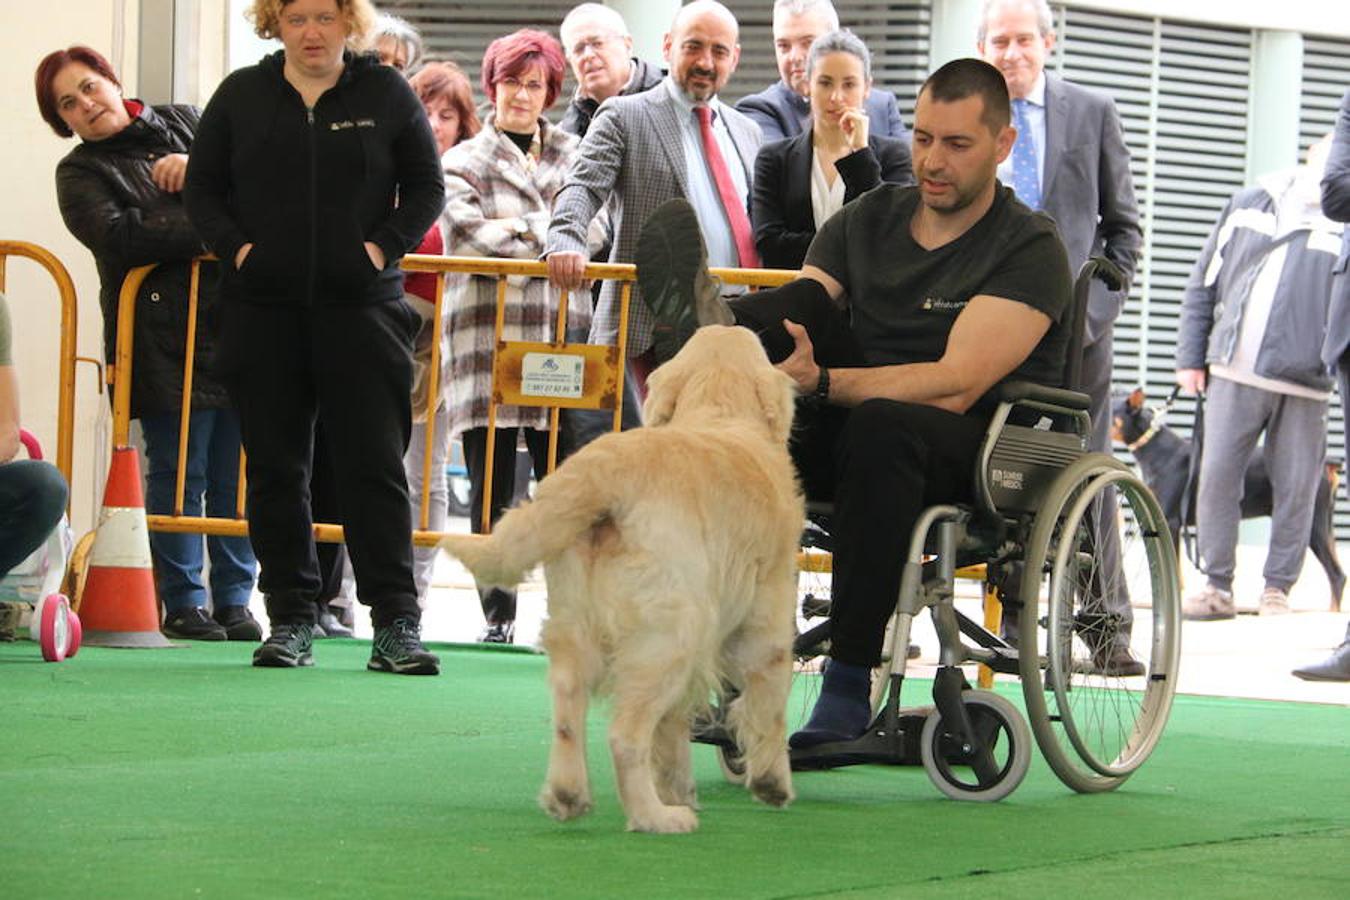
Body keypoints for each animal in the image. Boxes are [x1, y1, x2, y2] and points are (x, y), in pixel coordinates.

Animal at [1112, 388, 1344, 612]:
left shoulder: (1171, 520)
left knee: (1336, 575)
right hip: (1326, 521)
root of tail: (1327, 464)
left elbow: (1176, 570)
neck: (1155, 449)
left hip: (1312, 521)